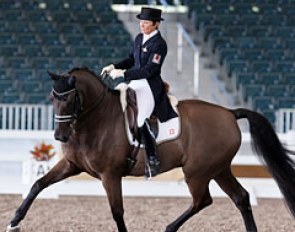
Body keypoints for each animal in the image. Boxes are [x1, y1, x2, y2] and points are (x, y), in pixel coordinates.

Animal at [6, 67, 295, 232]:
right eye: (53, 98)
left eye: (70, 98)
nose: (60, 135)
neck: (96, 119)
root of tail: (230, 113)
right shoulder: (72, 165)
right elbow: (38, 184)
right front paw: (13, 221)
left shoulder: (110, 175)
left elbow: (117, 211)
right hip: (219, 169)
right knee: (241, 198)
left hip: (198, 172)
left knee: (203, 200)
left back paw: (168, 228)